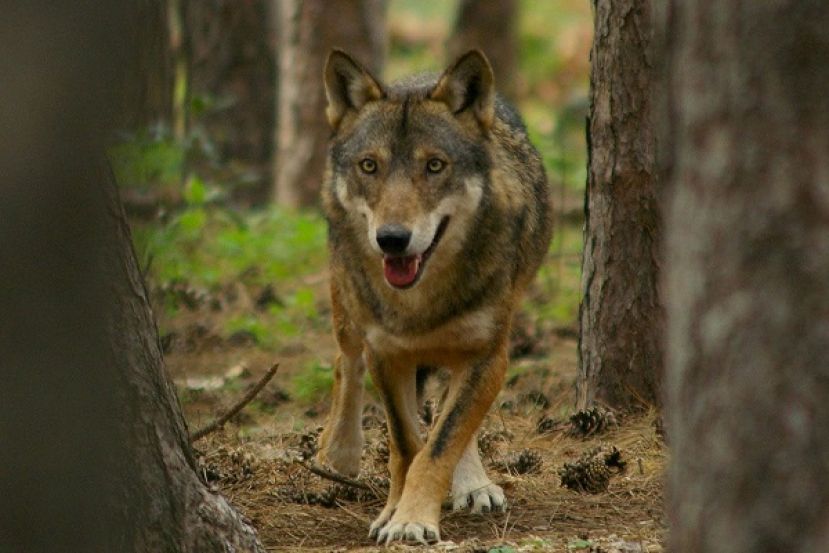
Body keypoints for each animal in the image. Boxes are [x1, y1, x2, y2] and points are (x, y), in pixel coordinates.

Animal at [315, 48, 553, 545]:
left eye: (435, 166)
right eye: (370, 166)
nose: (392, 239)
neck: (418, 304)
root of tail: (420, 74)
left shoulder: (488, 355)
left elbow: (442, 442)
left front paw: (413, 518)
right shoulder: (386, 355)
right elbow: (406, 445)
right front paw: (393, 512)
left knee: (453, 413)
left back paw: (475, 484)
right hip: (346, 303)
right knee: (345, 361)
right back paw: (339, 451)